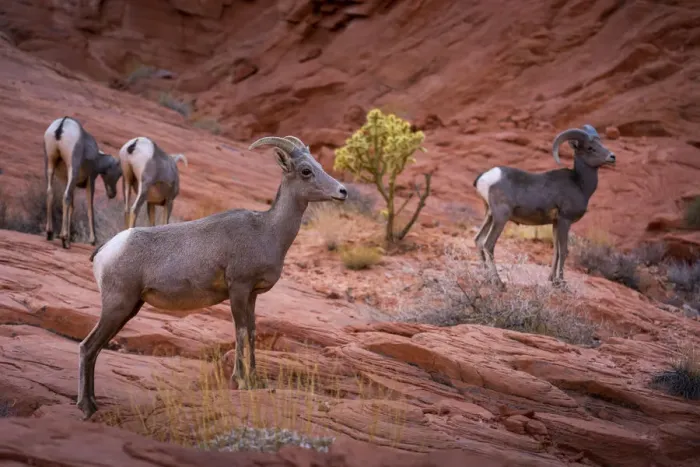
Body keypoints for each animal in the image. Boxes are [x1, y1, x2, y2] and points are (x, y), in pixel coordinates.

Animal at [43, 116, 123, 249]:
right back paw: (64, 240)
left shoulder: (69, 181)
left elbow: (72, 207)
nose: (112, 194)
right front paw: (93, 240)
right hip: (72, 168)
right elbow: (90, 209)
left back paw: (50, 233)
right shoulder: (90, 181)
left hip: (50, 165)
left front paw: (69, 238)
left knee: (50, 193)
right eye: (120, 173)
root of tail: (61, 126)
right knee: (65, 197)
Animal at [77, 135, 348, 419]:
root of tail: (105, 250)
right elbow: (240, 332)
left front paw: (255, 381)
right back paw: (86, 407)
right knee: (87, 347)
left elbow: (252, 332)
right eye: (306, 170)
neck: (267, 232)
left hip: (129, 308)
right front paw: (241, 381)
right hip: (117, 306)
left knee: (95, 349)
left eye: (319, 165)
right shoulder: (238, 289)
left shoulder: (251, 295)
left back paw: (93, 404)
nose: (342, 191)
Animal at [472, 124, 616, 288]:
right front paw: (562, 283)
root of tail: (485, 177)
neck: (580, 184)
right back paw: (499, 283)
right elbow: (564, 250)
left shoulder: (555, 223)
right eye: (590, 148)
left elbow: (556, 251)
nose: (612, 157)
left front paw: (552, 280)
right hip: (501, 217)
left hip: (490, 215)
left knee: (478, 240)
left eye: (600, 143)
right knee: (488, 244)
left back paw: (487, 278)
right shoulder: (565, 221)